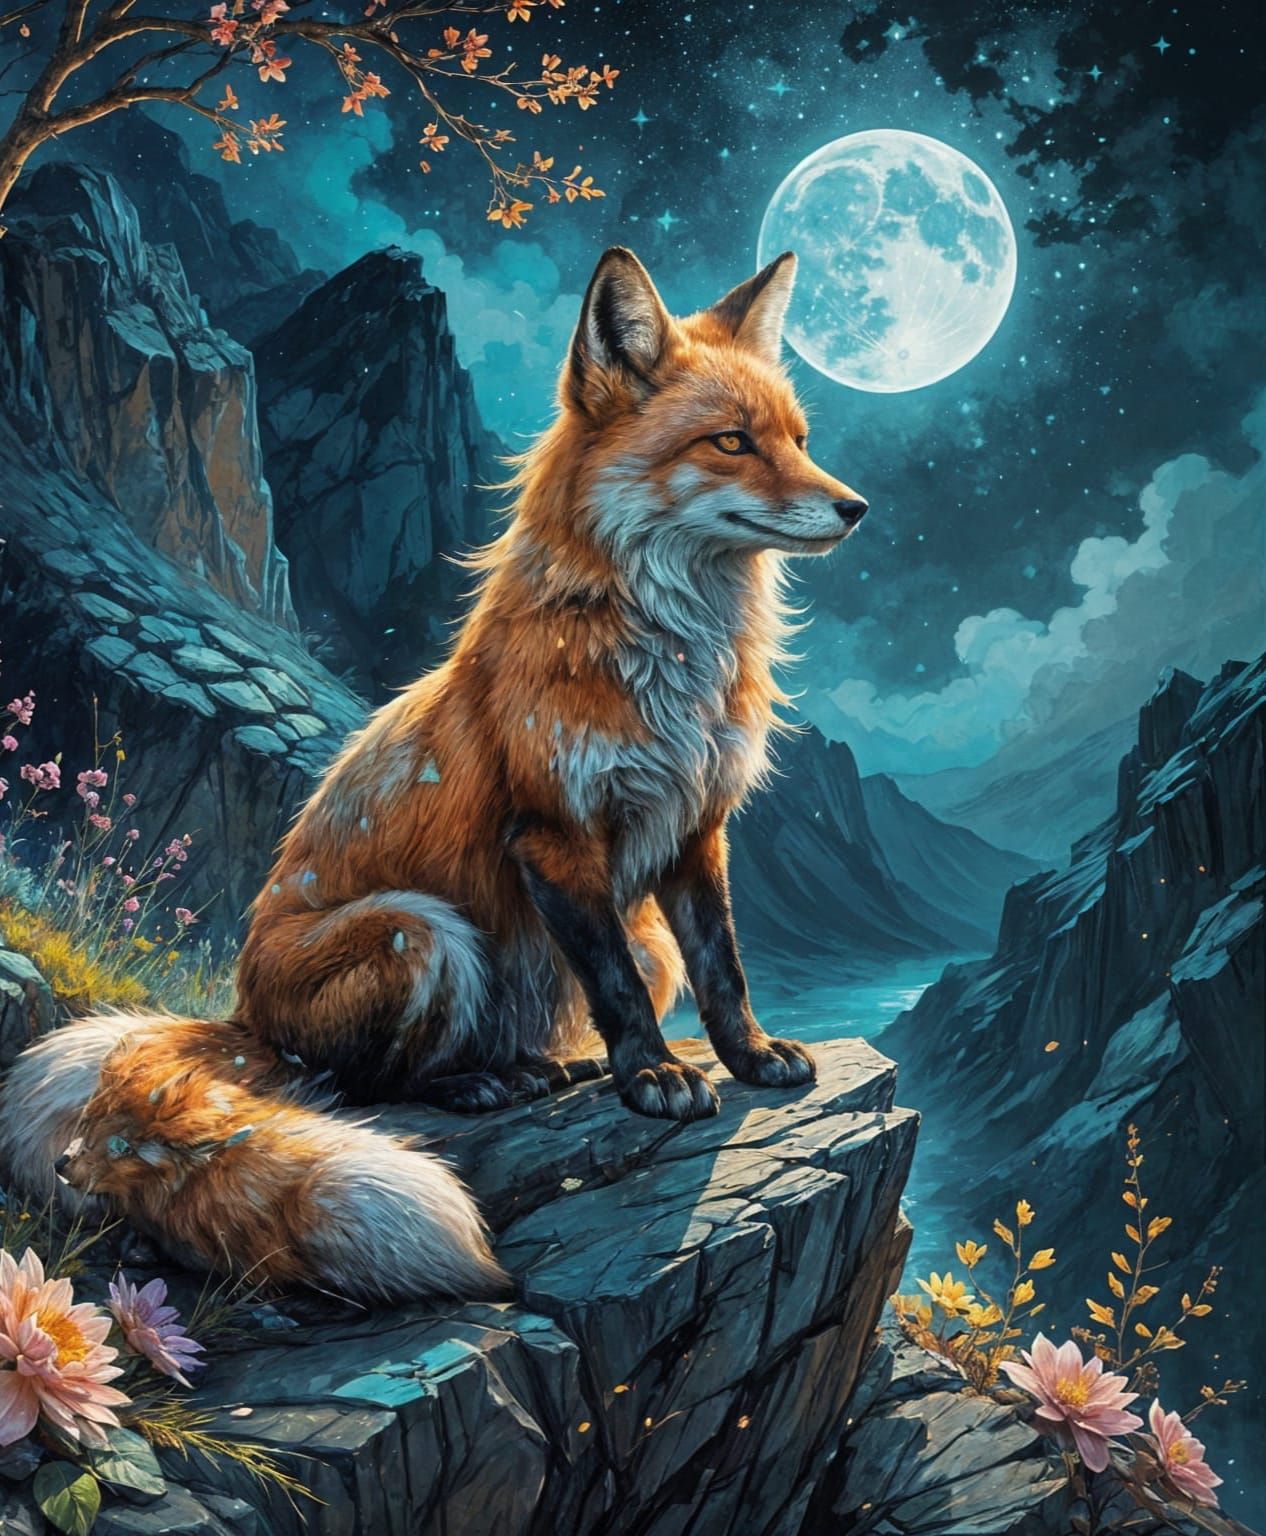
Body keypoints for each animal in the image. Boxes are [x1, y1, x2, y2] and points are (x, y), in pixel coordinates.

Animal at [0, 247, 867, 1304]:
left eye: (799, 439)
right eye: (733, 442)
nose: (856, 507)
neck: (672, 664)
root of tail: (240, 1016)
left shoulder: (698, 826)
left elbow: (726, 968)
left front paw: (746, 1057)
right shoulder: (553, 831)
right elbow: (616, 987)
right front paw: (654, 1077)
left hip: (595, 931)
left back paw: (547, 1066)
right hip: (421, 931)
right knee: (363, 1083)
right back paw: (476, 1082)